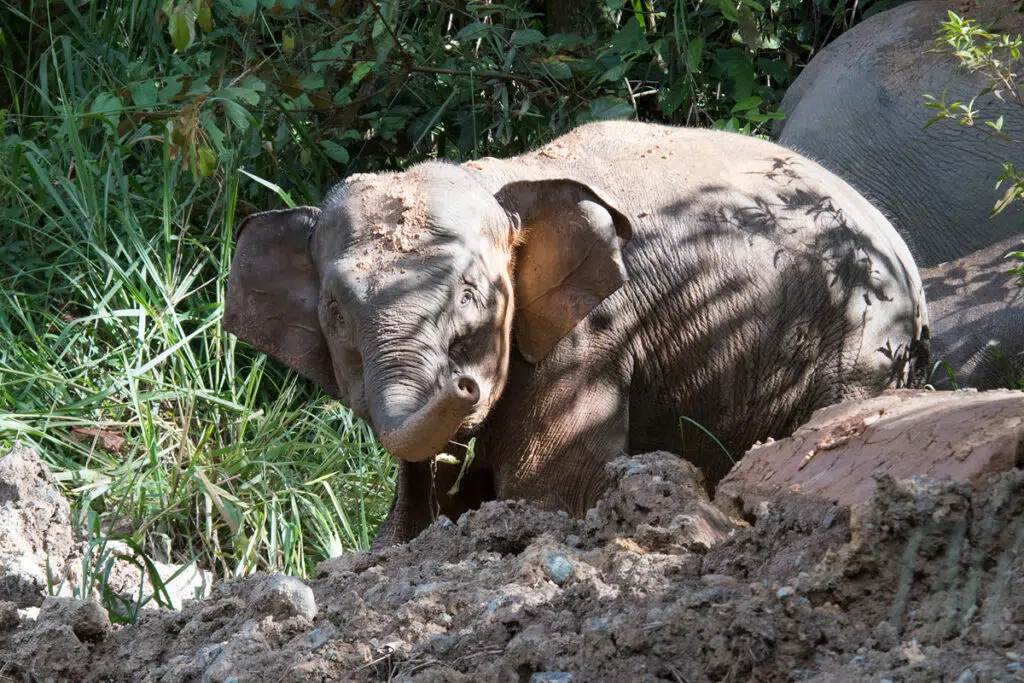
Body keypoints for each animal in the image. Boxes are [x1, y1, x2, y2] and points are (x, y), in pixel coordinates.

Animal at [224, 120, 930, 547]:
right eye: (337, 312)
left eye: (472, 294)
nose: (463, 384)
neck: (496, 180)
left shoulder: (589, 338)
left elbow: (548, 492)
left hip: (861, 354)